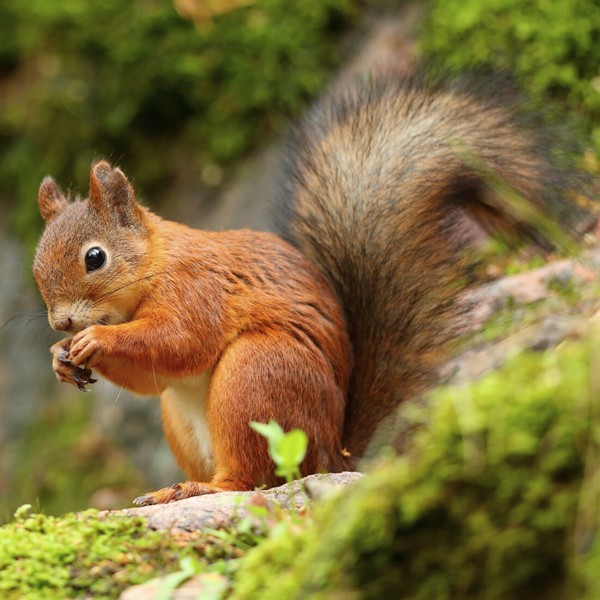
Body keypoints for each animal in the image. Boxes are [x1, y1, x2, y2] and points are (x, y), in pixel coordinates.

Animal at [30, 68, 588, 504]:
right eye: (36, 268)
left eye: (95, 258)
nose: (61, 322)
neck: (155, 265)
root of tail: (333, 453)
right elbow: (152, 378)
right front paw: (61, 357)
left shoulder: (197, 292)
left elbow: (178, 340)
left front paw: (94, 340)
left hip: (257, 376)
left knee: (252, 480)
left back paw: (198, 489)